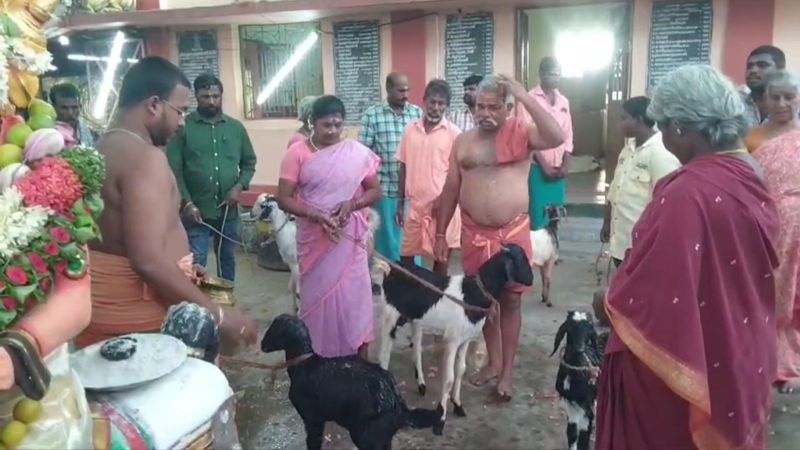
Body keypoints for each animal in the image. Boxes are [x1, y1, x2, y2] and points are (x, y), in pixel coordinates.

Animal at [264, 312, 446, 450]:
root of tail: (397, 402)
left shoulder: (313, 420)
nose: (262, 345)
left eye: (273, 330)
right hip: (382, 437)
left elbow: (313, 443)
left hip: (366, 436)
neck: (304, 363)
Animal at [372, 244, 536, 420]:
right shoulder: (452, 340)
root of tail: (390, 269)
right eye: (521, 259)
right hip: (389, 317)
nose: (531, 280)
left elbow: (460, 370)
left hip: (416, 319)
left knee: (416, 349)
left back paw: (421, 384)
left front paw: (457, 405)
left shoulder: (465, 340)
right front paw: (441, 413)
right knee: (384, 356)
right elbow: (449, 378)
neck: (471, 294)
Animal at [552, 312, 604, 450]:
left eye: (589, 330)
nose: (579, 349)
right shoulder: (570, 403)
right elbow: (572, 433)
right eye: (569, 328)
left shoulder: (587, 406)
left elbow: (584, 437)